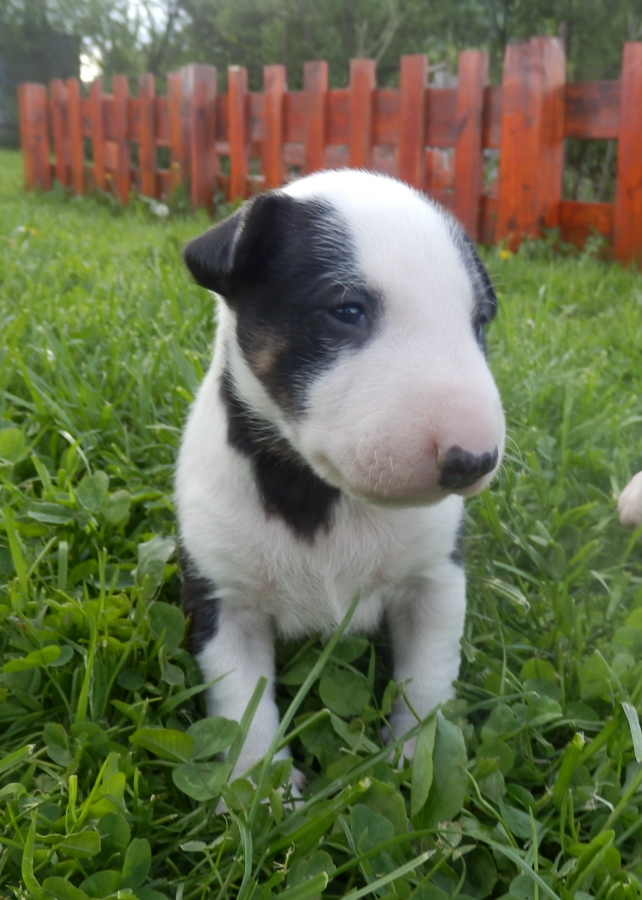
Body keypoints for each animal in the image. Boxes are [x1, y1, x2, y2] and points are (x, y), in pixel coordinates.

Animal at [176, 169, 506, 791]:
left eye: (478, 322)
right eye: (347, 310)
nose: (473, 460)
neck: (321, 495)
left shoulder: (435, 579)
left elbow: (428, 675)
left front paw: (417, 759)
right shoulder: (223, 601)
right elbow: (243, 708)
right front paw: (261, 792)